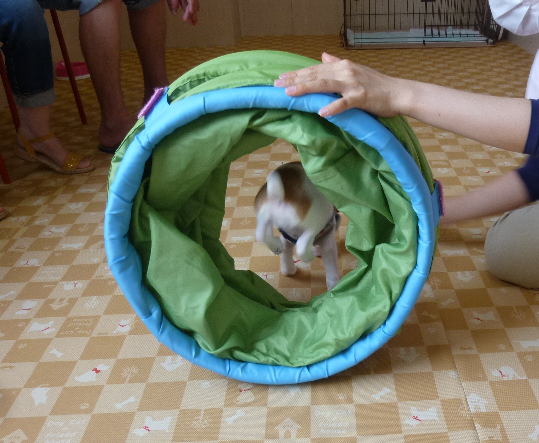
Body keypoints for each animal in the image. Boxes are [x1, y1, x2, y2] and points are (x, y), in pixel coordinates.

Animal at [254, 162, 341, 290]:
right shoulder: (328, 244)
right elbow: (332, 274)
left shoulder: (286, 240)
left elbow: (286, 260)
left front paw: (289, 270)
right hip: (317, 217)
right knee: (302, 244)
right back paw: (308, 255)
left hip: (264, 214)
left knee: (260, 233)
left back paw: (275, 245)